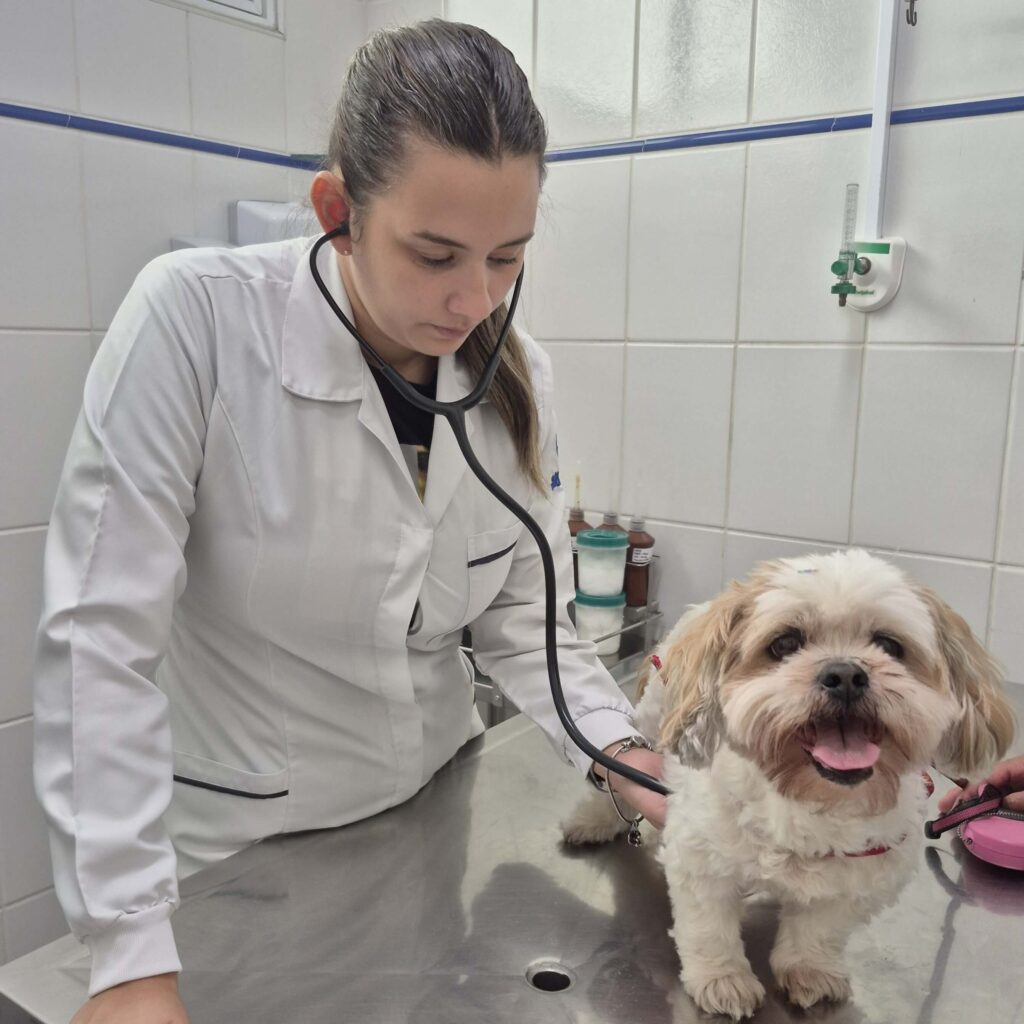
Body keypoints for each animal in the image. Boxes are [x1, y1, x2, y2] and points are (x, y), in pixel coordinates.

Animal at [563, 549, 1015, 1020]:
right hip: (656, 720)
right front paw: (722, 979)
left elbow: (820, 929)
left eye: (890, 645)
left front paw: (810, 970)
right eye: (784, 643)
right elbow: (709, 928)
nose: (845, 674)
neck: (808, 795)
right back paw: (593, 820)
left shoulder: (864, 871)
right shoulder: (701, 858)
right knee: (617, 762)